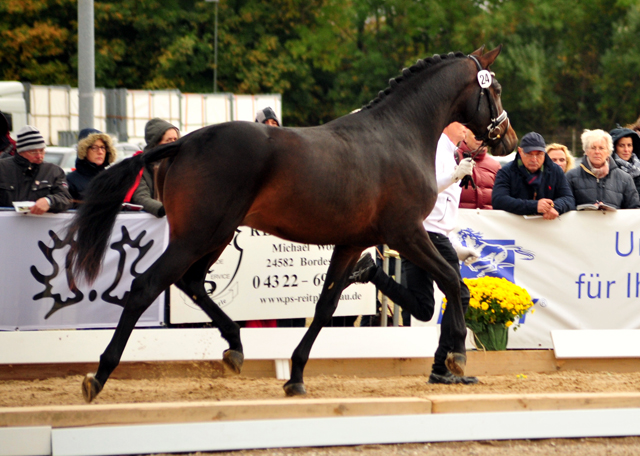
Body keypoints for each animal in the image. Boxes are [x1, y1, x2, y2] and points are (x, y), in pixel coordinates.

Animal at [65, 47, 516, 402]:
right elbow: (452, 281)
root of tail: (183, 143)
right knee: (146, 287)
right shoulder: (406, 232)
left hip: (215, 236)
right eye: (493, 89)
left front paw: (296, 376)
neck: (398, 136)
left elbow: (325, 306)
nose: (508, 138)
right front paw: (457, 356)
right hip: (198, 235)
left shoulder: (353, 242)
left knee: (191, 282)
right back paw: (98, 376)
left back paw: (235, 347)